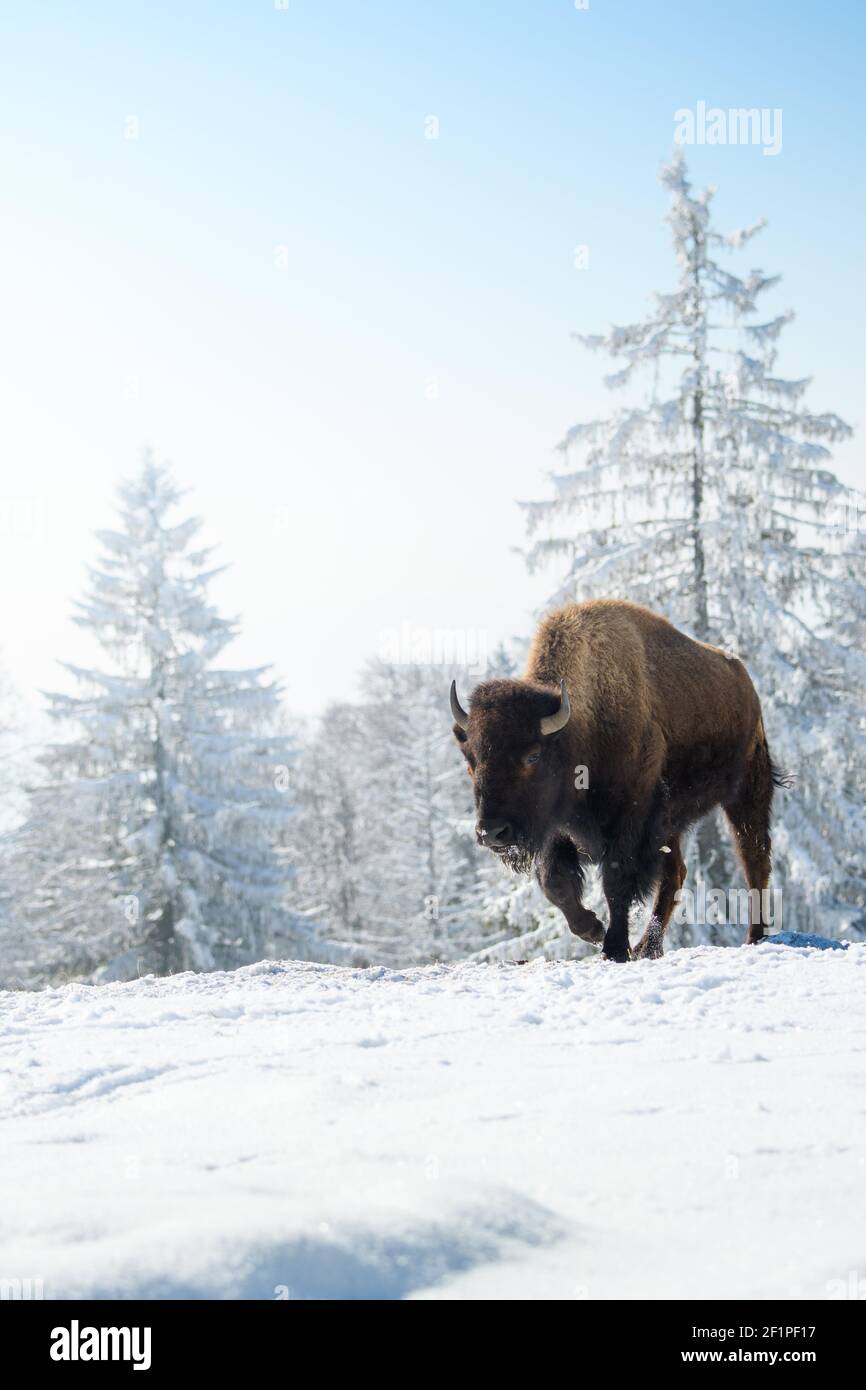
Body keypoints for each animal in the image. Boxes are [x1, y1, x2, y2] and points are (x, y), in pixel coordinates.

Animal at [450, 603, 789, 961]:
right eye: (470, 760)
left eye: (532, 756)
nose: (492, 832)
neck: (579, 730)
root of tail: (743, 678)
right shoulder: (557, 828)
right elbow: (554, 883)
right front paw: (593, 929)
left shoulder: (630, 822)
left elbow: (616, 882)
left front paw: (613, 947)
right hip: (671, 821)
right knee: (676, 874)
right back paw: (647, 948)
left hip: (747, 790)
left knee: (754, 858)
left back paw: (754, 937)